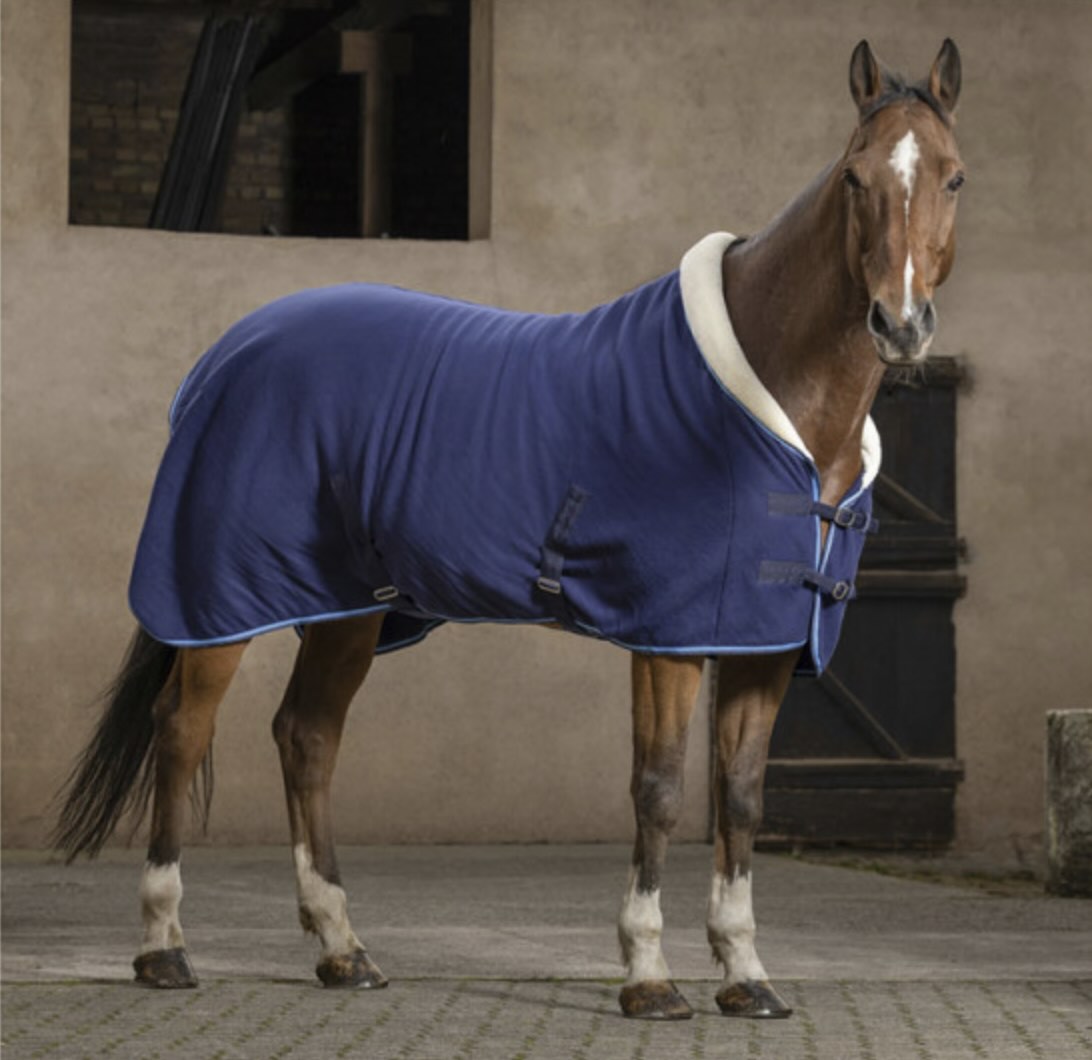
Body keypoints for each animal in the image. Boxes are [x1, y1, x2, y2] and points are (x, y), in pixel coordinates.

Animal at [54, 38, 964, 1021]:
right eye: (854, 177)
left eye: (953, 177)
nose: (899, 323)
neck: (770, 400)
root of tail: (223, 357)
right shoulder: (670, 638)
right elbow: (659, 789)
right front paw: (649, 975)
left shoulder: (763, 644)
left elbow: (743, 797)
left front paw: (746, 975)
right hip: (222, 594)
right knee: (182, 730)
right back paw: (164, 947)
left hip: (349, 606)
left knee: (307, 737)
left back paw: (343, 950)